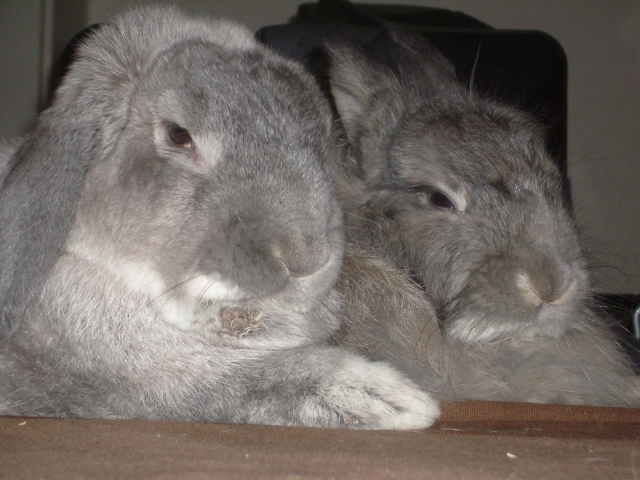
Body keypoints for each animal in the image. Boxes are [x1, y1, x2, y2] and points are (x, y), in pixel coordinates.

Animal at [0, 6, 440, 429]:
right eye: (178, 134)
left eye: (319, 140)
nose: (307, 258)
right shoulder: (142, 389)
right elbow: (237, 384)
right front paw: (394, 401)